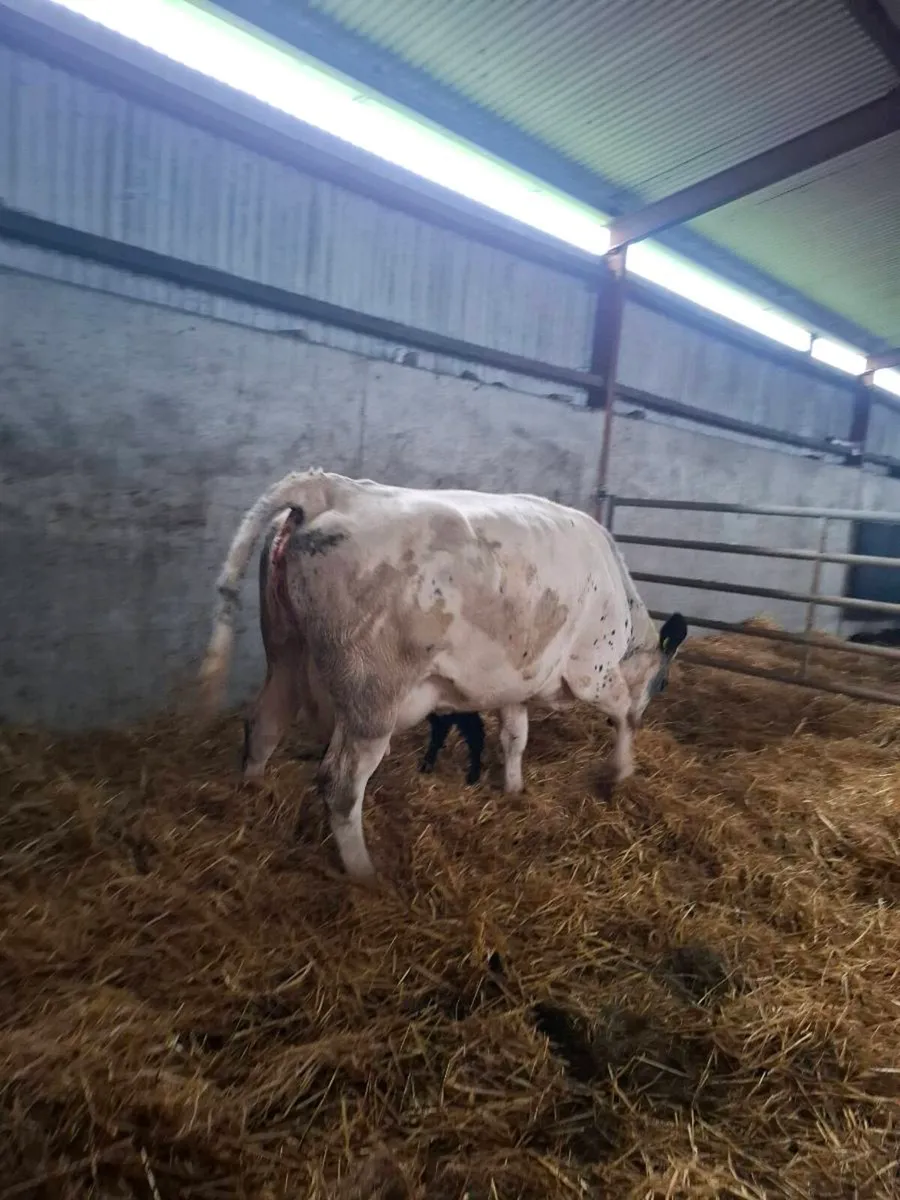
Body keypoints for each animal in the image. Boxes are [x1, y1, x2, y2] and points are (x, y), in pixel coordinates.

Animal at [199, 470, 687, 881]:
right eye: (663, 683)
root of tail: (332, 487)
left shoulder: (515, 679)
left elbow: (515, 735)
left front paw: (513, 788)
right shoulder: (594, 671)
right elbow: (626, 714)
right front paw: (620, 772)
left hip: (285, 652)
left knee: (265, 725)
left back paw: (250, 798)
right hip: (372, 693)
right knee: (340, 783)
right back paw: (364, 873)